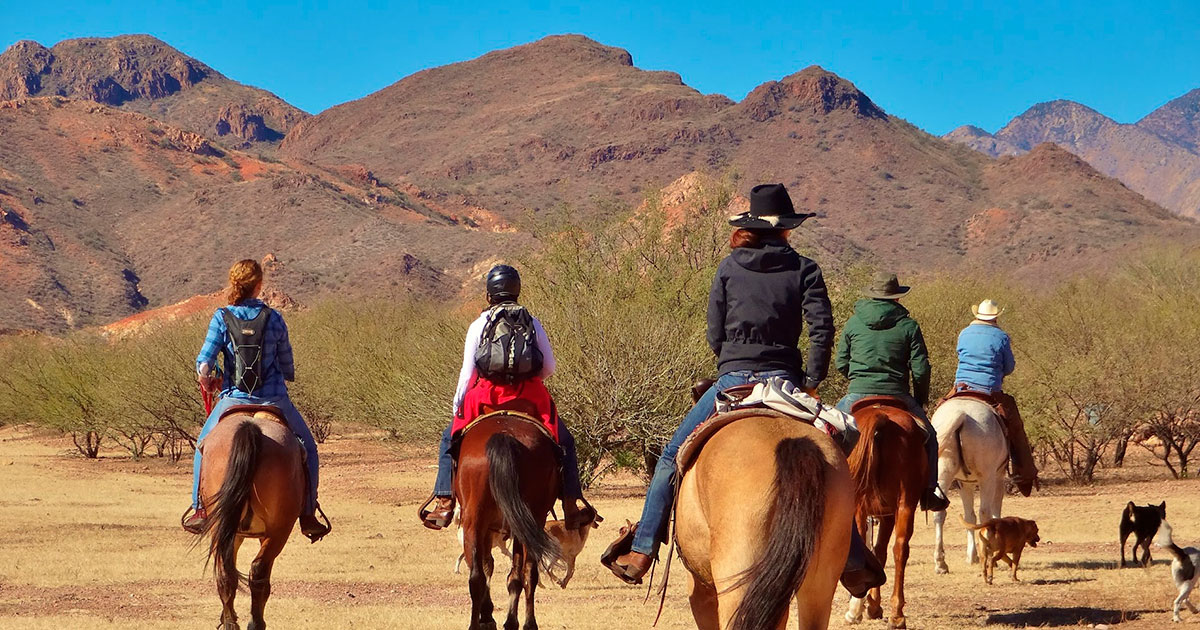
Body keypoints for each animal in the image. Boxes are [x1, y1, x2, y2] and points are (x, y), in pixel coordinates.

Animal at [198, 408, 307, 628]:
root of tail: (251, 428)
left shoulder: (234, 533)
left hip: (222, 526)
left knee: (226, 574)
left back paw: (231, 623)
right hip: (279, 530)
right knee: (259, 573)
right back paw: (255, 623)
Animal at [453, 410, 561, 628]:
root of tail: (504, 436)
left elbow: (488, 565)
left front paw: (488, 615)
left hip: (475, 522)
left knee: (478, 576)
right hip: (529, 521)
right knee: (527, 572)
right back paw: (527, 624)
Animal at [844, 400, 926, 628]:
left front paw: (869, 605)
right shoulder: (888, 514)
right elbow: (880, 552)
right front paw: (873, 605)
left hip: (862, 506)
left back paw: (857, 610)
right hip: (905, 504)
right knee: (900, 549)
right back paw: (896, 615)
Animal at [926, 398, 1012, 568]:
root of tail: (961, 415)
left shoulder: (964, 483)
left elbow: (969, 517)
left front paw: (972, 556)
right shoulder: (997, 478)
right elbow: (993, 512)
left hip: (943, 473)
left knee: (939, 512)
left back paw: (940, 562)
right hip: (987, 478)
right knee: (985, 513)